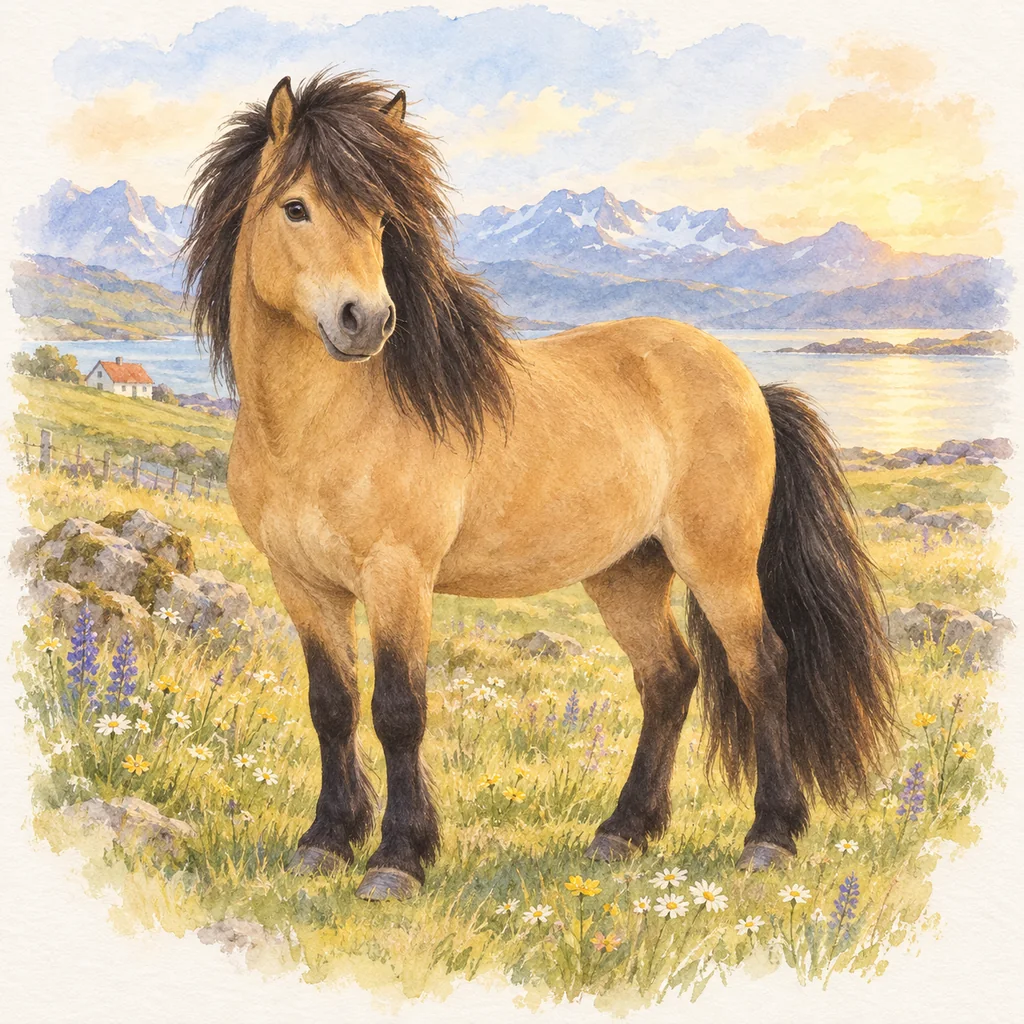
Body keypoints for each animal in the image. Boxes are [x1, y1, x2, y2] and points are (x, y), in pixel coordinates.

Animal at [183, 71, 896, 902]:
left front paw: (398, 857)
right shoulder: (301, 582)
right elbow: (331, 706)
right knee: (668, 678)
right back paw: (623, 832)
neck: (320, 427)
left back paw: (770, 837)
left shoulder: (398, 576)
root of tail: (747, 380)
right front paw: (327, 840)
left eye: (382, 218)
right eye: (295, 207)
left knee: (762, 668)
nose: (366, 320)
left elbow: (398, 710)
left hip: (717, 562)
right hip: (626, 571)